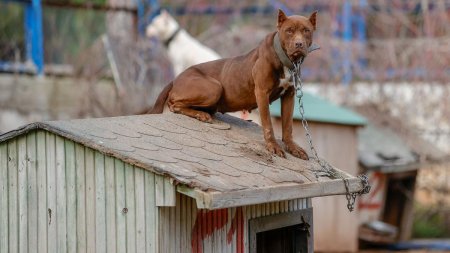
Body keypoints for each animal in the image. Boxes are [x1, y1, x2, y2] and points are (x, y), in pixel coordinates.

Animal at [151, 10, 316, 160]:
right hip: (214, 88)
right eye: (289, 31)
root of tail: (175, 79)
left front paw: (293, 148)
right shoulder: (262, 92)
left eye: (306, 31)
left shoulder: (289, 95)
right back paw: (200, 114)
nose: (299, 44)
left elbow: (288, 125)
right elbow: (268, 124)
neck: (285, 60)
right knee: (173, 104)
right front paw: (273, 147)